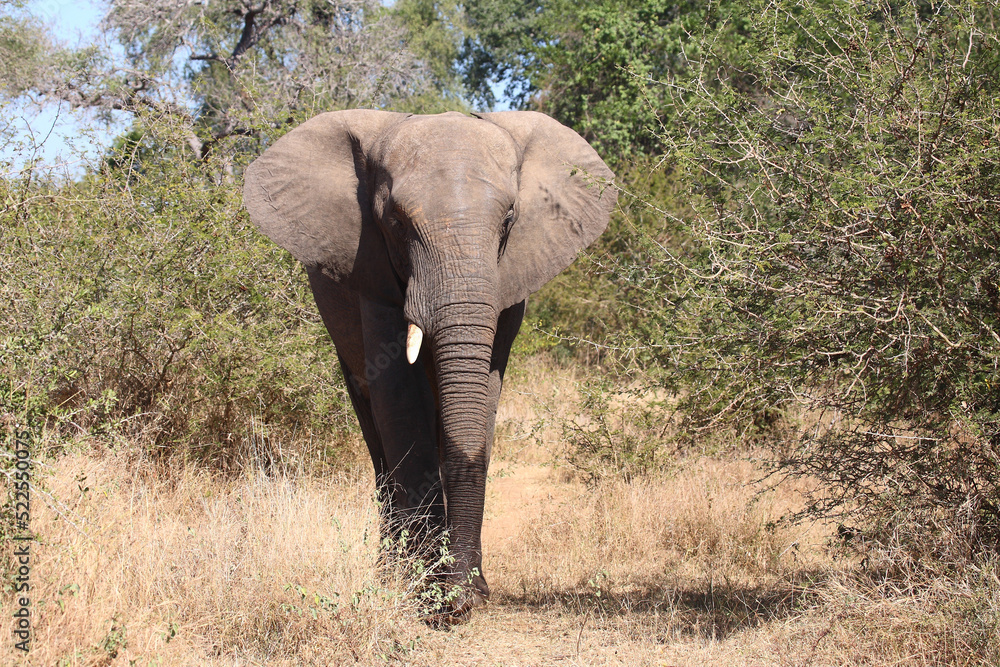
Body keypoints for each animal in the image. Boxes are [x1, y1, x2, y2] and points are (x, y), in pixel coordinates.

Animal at [243, 109, 615, 620]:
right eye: (396, 223)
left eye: (510, 219)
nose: (464, 599)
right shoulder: (370, 267)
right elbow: (398, 396)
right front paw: (427, 596)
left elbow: (484, 394)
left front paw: (464, 589)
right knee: (375, 432)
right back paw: (391, 571)